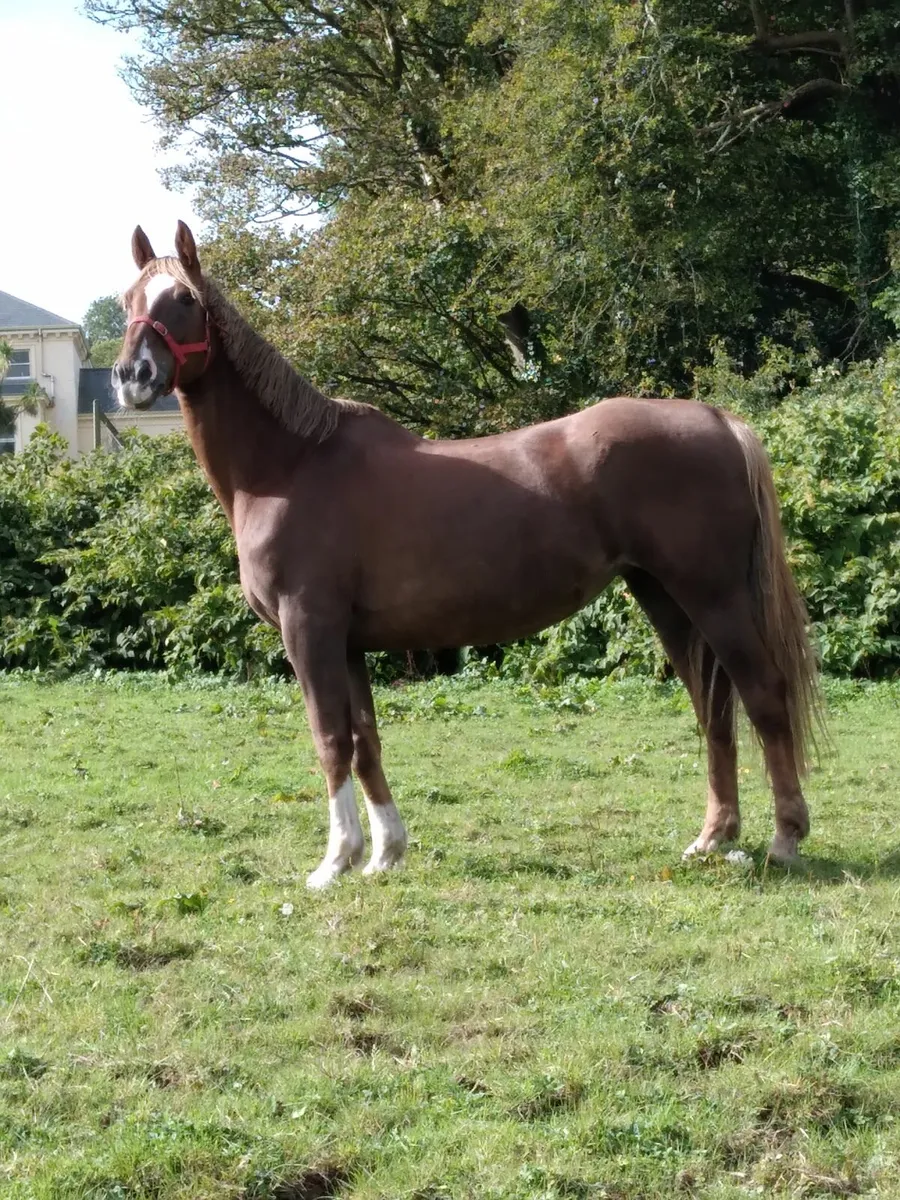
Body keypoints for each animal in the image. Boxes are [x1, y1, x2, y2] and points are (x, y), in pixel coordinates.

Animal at [112, 221, 821, 888]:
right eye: (127, 300)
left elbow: (330, 739)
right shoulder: (348, 641)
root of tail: (718, 419)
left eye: (184, 299)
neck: (290, 467)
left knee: (763, 695)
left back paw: (785, 840)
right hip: (665, 597)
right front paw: (384, 854)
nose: (131, 378)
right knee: (714, 708)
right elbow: (366, 740)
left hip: (715, 596)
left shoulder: (307, 629)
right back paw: (713, 838)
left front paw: (334, 862)